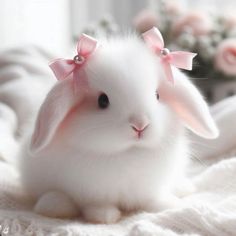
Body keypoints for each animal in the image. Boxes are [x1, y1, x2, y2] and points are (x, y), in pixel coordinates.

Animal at [18, 34, 218, 224]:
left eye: (157, 95)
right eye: (102, 100)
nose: (140, 125)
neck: (129, 152)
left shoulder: (151, 188)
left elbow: (153, 199)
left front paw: (169, 205)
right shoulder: (92, 192)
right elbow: (96, 205)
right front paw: (104, 216)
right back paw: (53, 205)